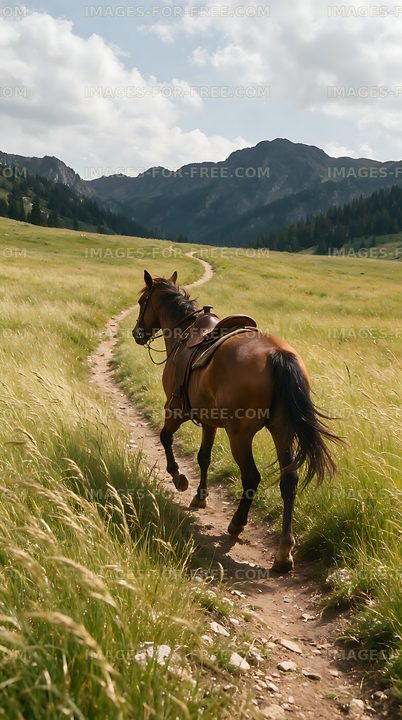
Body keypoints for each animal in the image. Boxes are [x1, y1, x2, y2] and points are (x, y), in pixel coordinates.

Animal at [132, 270, 341, 572]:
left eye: (141, 302)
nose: (137, 333)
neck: (183, 335)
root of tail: (278, 355)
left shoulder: (175, 410)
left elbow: (165, 438)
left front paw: (179, 479)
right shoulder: (208, 421)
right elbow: (203, 457)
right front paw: (200, 496)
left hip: (240, 435)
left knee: (251, 476)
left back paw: (237, 524)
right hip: (282, 431)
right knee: (288, 480)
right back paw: (284, 551)